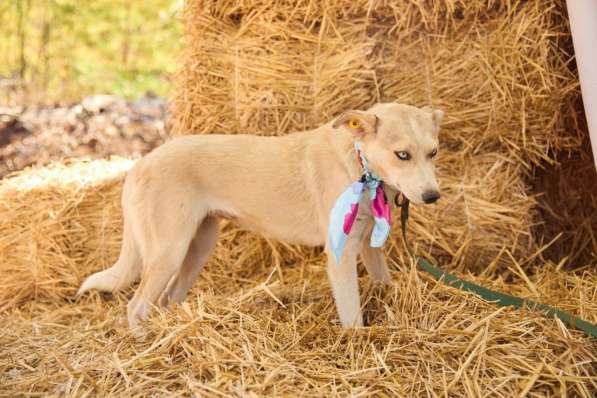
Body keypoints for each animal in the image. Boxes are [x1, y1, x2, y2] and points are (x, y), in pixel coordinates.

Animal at [75, 102, 442, 330]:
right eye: (402, 155)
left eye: (433, 152)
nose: (432, 197)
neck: (359, 162)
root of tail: (139, 165)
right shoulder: (341, 254)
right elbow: (352, 315)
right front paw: (360, 346)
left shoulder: (368, 246)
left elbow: (384, 282)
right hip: (169, 251)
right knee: (135, 307)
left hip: (196, 249)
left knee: (167, 300)